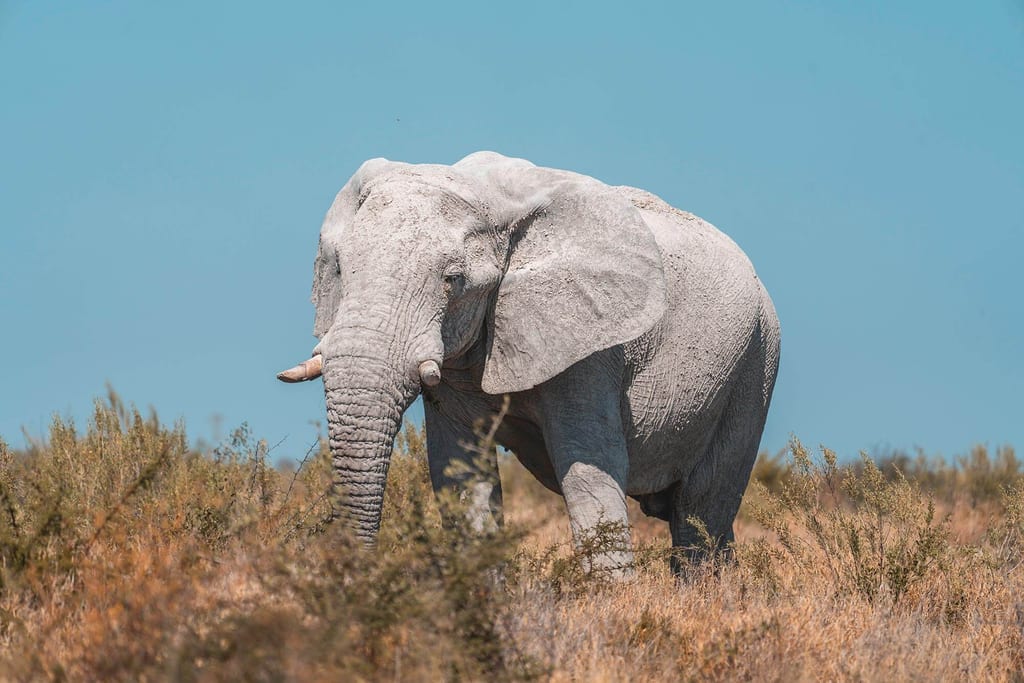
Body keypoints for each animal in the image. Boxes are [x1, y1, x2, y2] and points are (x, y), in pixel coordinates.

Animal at [277, 151, 780, 575]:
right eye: (340, 269)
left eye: (453, 280)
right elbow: (460, 471)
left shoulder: (590, 346)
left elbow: (590, 469)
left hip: (754, 366)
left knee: (702, 508)